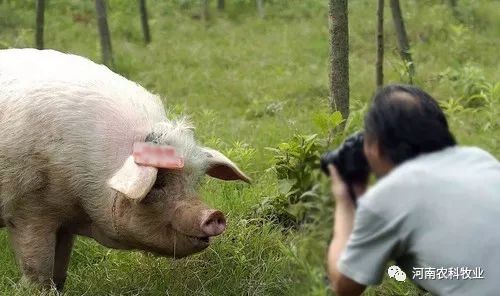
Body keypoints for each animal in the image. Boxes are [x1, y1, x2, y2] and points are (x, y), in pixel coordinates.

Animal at [0, 49, 250, 292]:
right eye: (158, 183)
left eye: (196, 183)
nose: (214, 214)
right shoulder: (29, 209)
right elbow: (38, 267)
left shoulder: (64, 221)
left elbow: (60, 268)